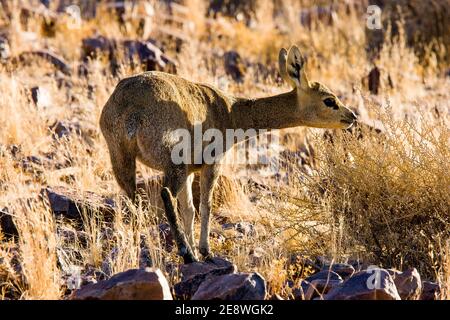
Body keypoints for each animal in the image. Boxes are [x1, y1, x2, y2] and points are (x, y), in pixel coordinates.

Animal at [100, 46, 356, 264]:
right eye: (329, 100)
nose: (351, 116)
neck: (231, 111)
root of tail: (132, 111)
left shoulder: (191, 171)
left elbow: (189, 209)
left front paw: (196, 249)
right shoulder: (212, 163)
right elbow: (206, 205)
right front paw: (204, 251)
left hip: (122, 160)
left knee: (134, 201)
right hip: (173, 164)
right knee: (165, 194)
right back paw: (186, 254)